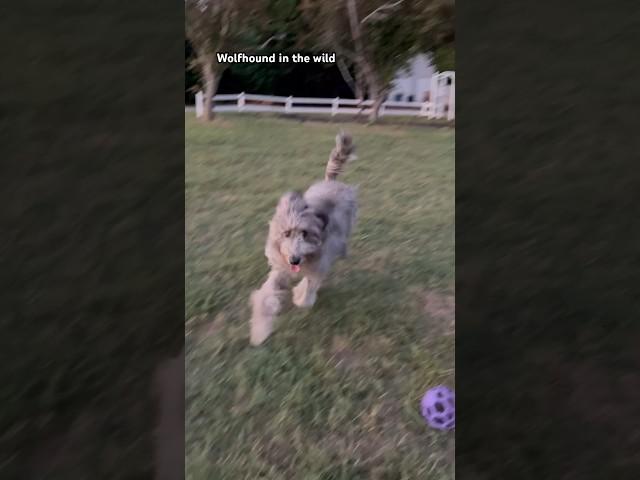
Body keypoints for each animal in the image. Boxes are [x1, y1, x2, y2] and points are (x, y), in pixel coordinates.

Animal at [250, 131, 358, 344]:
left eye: (305, 233)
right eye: (286, 233)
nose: (294, 260)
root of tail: (331, 182)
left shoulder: (321, 259)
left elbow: (310, 283)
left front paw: (300, 297)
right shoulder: (280, 267)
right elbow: (266, 294)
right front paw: (259, 331)